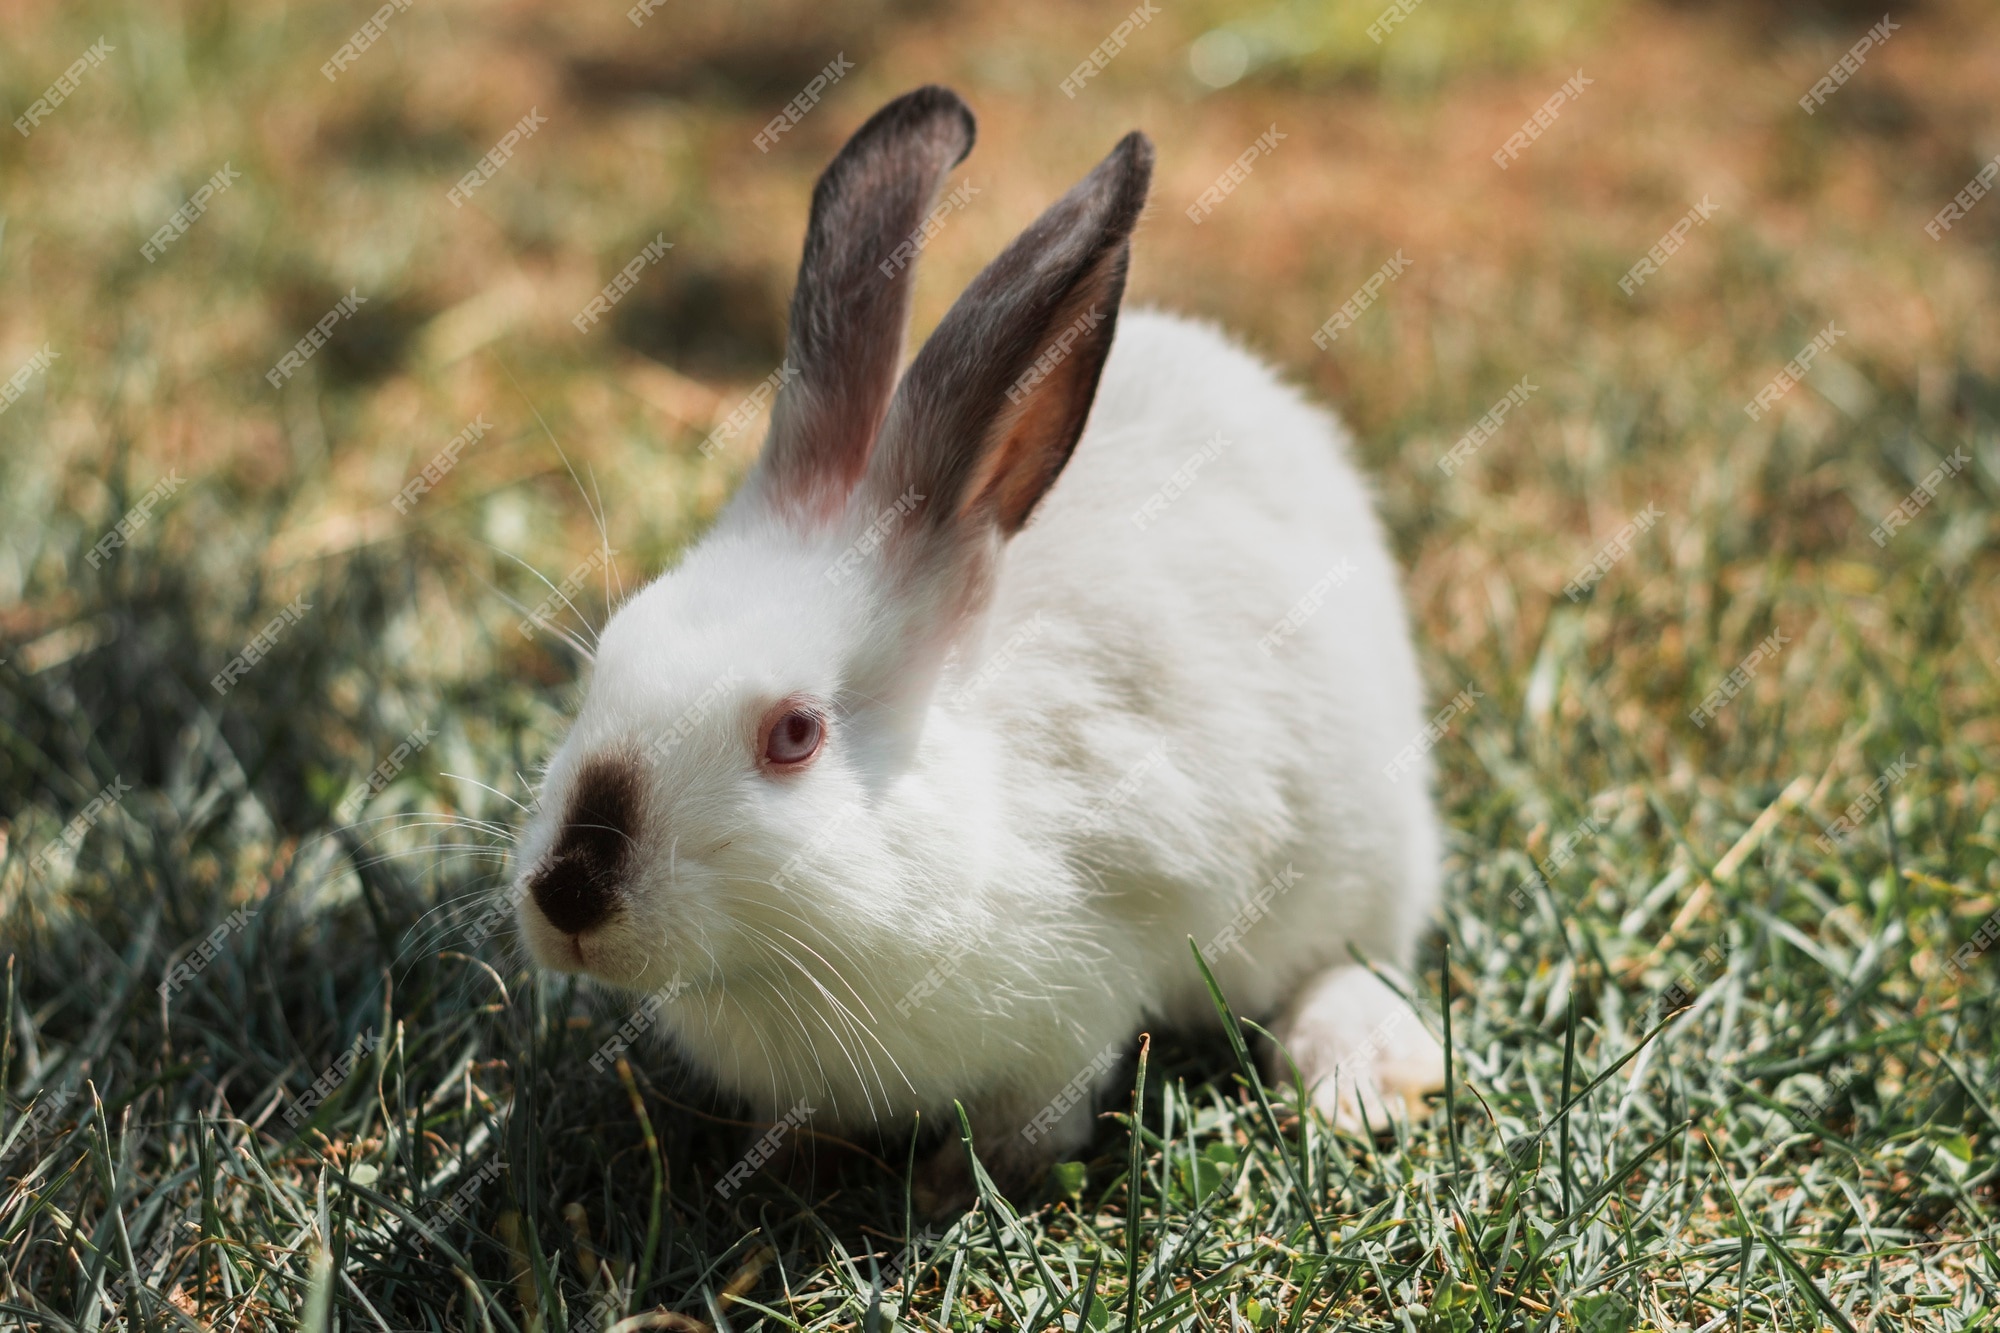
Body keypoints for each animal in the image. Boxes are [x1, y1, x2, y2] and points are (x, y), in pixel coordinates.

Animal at [512, 88, 1456, 1200]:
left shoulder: (1077, 996)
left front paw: (956, 1186)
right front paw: (783, 1164)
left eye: (794, 734)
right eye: (604, 660)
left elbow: (1038, 1113)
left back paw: (1359, 1081)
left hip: (1353, 854)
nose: (569, 893)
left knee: (1341, 959)